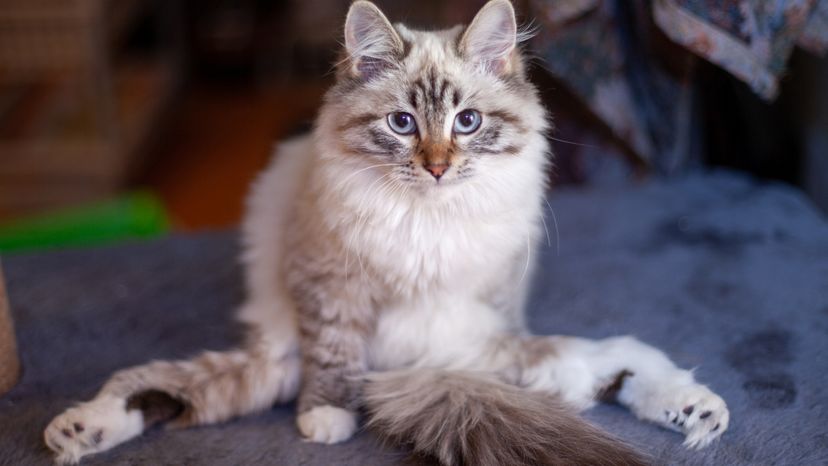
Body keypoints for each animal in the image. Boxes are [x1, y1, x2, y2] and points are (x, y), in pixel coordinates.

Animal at [45, 1, 732, 464]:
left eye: (467, 122)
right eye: (403, 124)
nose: (437, 167)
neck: (424, 212)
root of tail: (413, 370)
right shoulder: (329, 291)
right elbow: (333, 359)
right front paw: (326, 418)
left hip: (490, 351)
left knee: (619, 365)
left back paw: (700, 412)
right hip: (280, 358)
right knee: (158, 385)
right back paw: (75, 431)